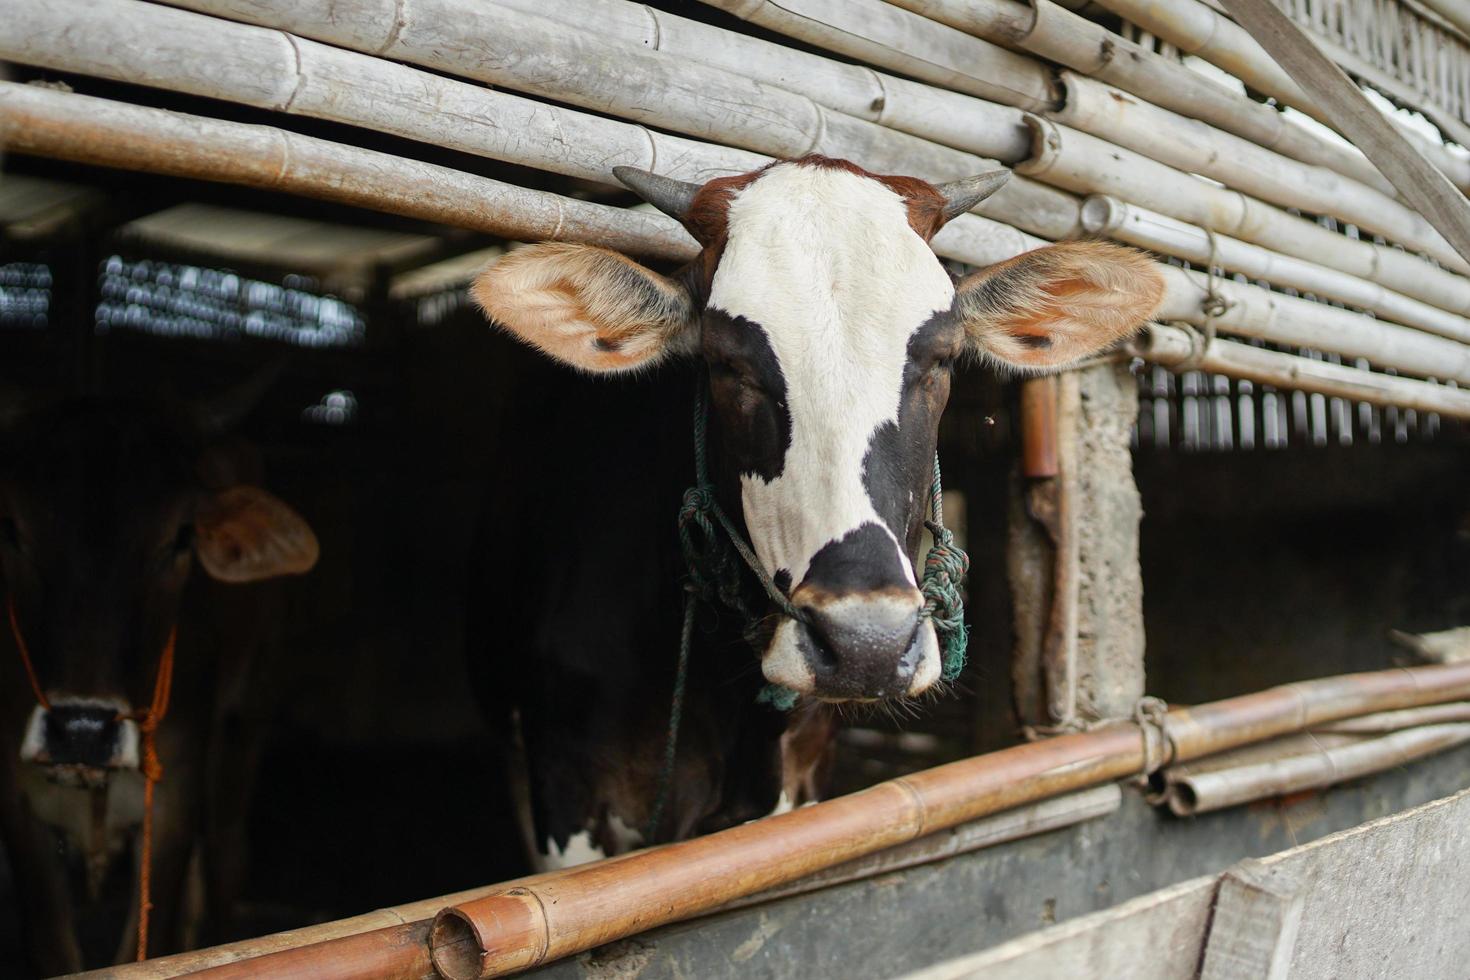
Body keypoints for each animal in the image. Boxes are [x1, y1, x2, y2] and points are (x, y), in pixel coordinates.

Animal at [0, 384, 320, 975]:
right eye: (11, 529)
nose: (82, 730)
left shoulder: (172, 804)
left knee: (227, 858)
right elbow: (54, 947)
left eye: (180, 539)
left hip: (245, 722)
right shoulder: (17, 802)